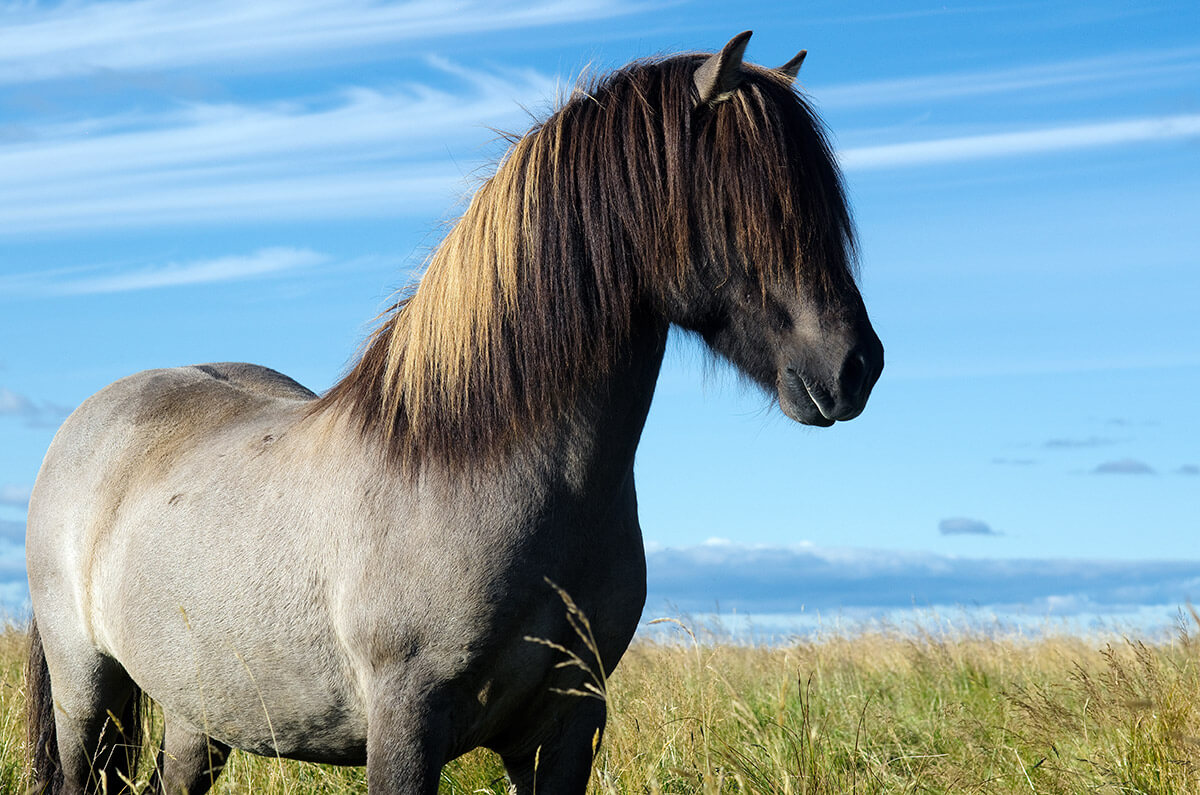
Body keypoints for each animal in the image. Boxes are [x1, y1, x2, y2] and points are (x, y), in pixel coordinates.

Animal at [25, 31, 883, 794]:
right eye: (745, 205)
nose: (855, 367)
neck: (478, 466)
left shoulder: (567, 726)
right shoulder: (406, 723)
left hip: (201, 711)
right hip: (87, 694)